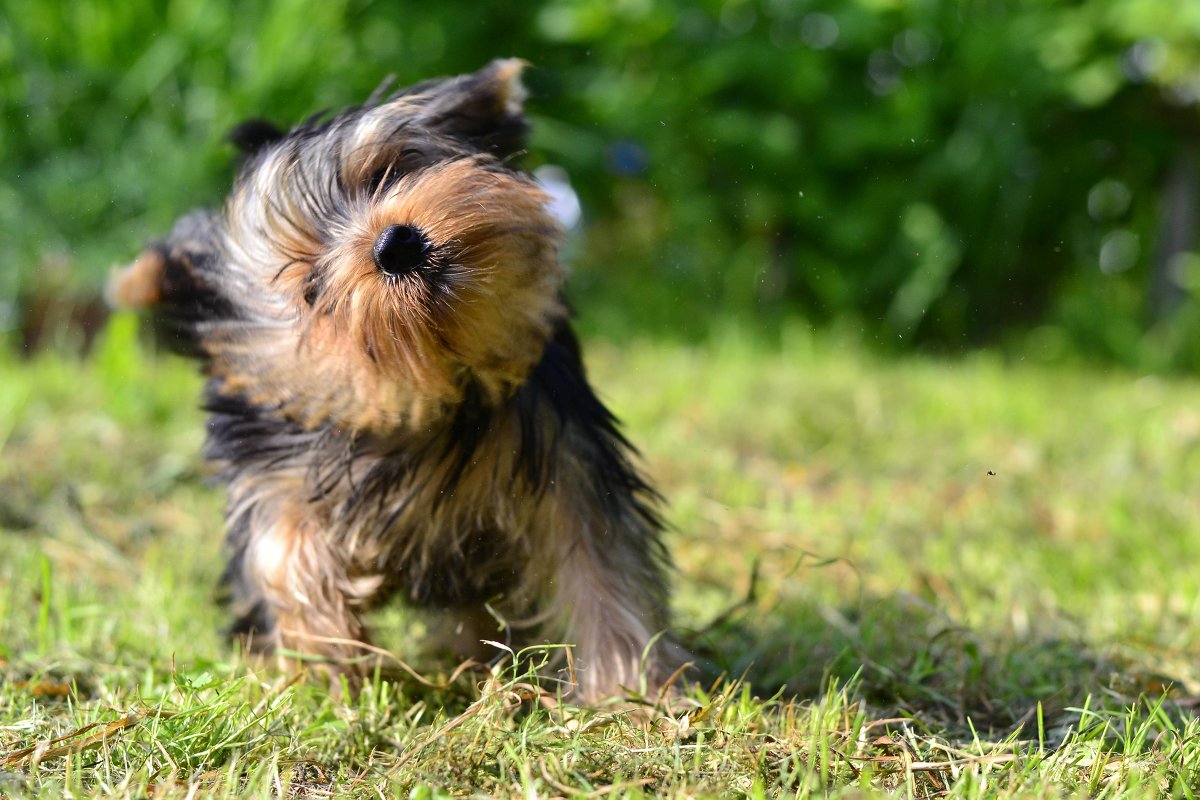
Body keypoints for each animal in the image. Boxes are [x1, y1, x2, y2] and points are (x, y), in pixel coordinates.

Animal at [105, 59, 676, 705]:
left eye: (387, 172)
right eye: (311, 288)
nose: (396, 243)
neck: (429, 399)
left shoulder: (567, 464)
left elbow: (601, 570)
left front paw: (630, 693)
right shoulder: (273, 468)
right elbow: (285, 546)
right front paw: (330, 657)